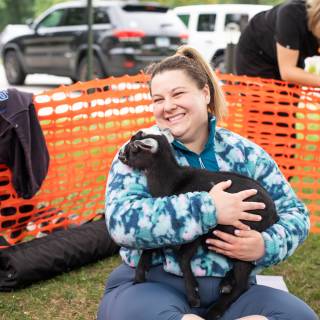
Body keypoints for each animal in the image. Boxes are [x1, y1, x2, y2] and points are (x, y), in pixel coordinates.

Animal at [118, 129, 278, 318]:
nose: (120, 155)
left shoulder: (195, 231)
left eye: (133, 148)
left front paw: (194, 295)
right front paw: (140, 275)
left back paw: (215, 310)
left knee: (242, 284)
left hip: (243, 237)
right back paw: (226, 283)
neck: (172, 181)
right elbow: (150, 246)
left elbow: (183, 258)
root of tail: (273, 213)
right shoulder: (165, 226)